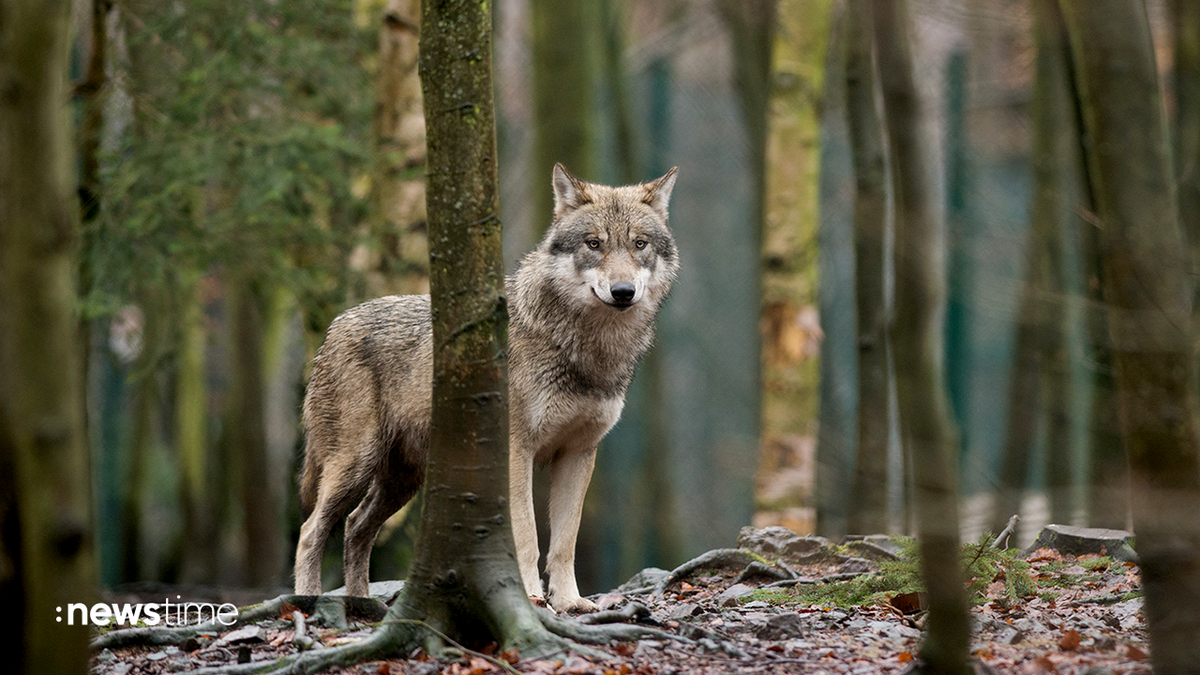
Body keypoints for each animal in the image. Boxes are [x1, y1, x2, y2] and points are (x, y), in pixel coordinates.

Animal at [292, 163, 676, 610]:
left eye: (639, 244)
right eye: (594, 244)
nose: (622, 292)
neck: (587, 350)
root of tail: (334, 325)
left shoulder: (579, 453)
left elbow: (565, 542)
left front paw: (568, 602)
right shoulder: (516, 450)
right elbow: (526, 535)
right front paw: (530, 597)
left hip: (402, 481)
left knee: (355, 527)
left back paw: (362, 604)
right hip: (355, 465)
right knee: (311, 530)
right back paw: (308, 601)